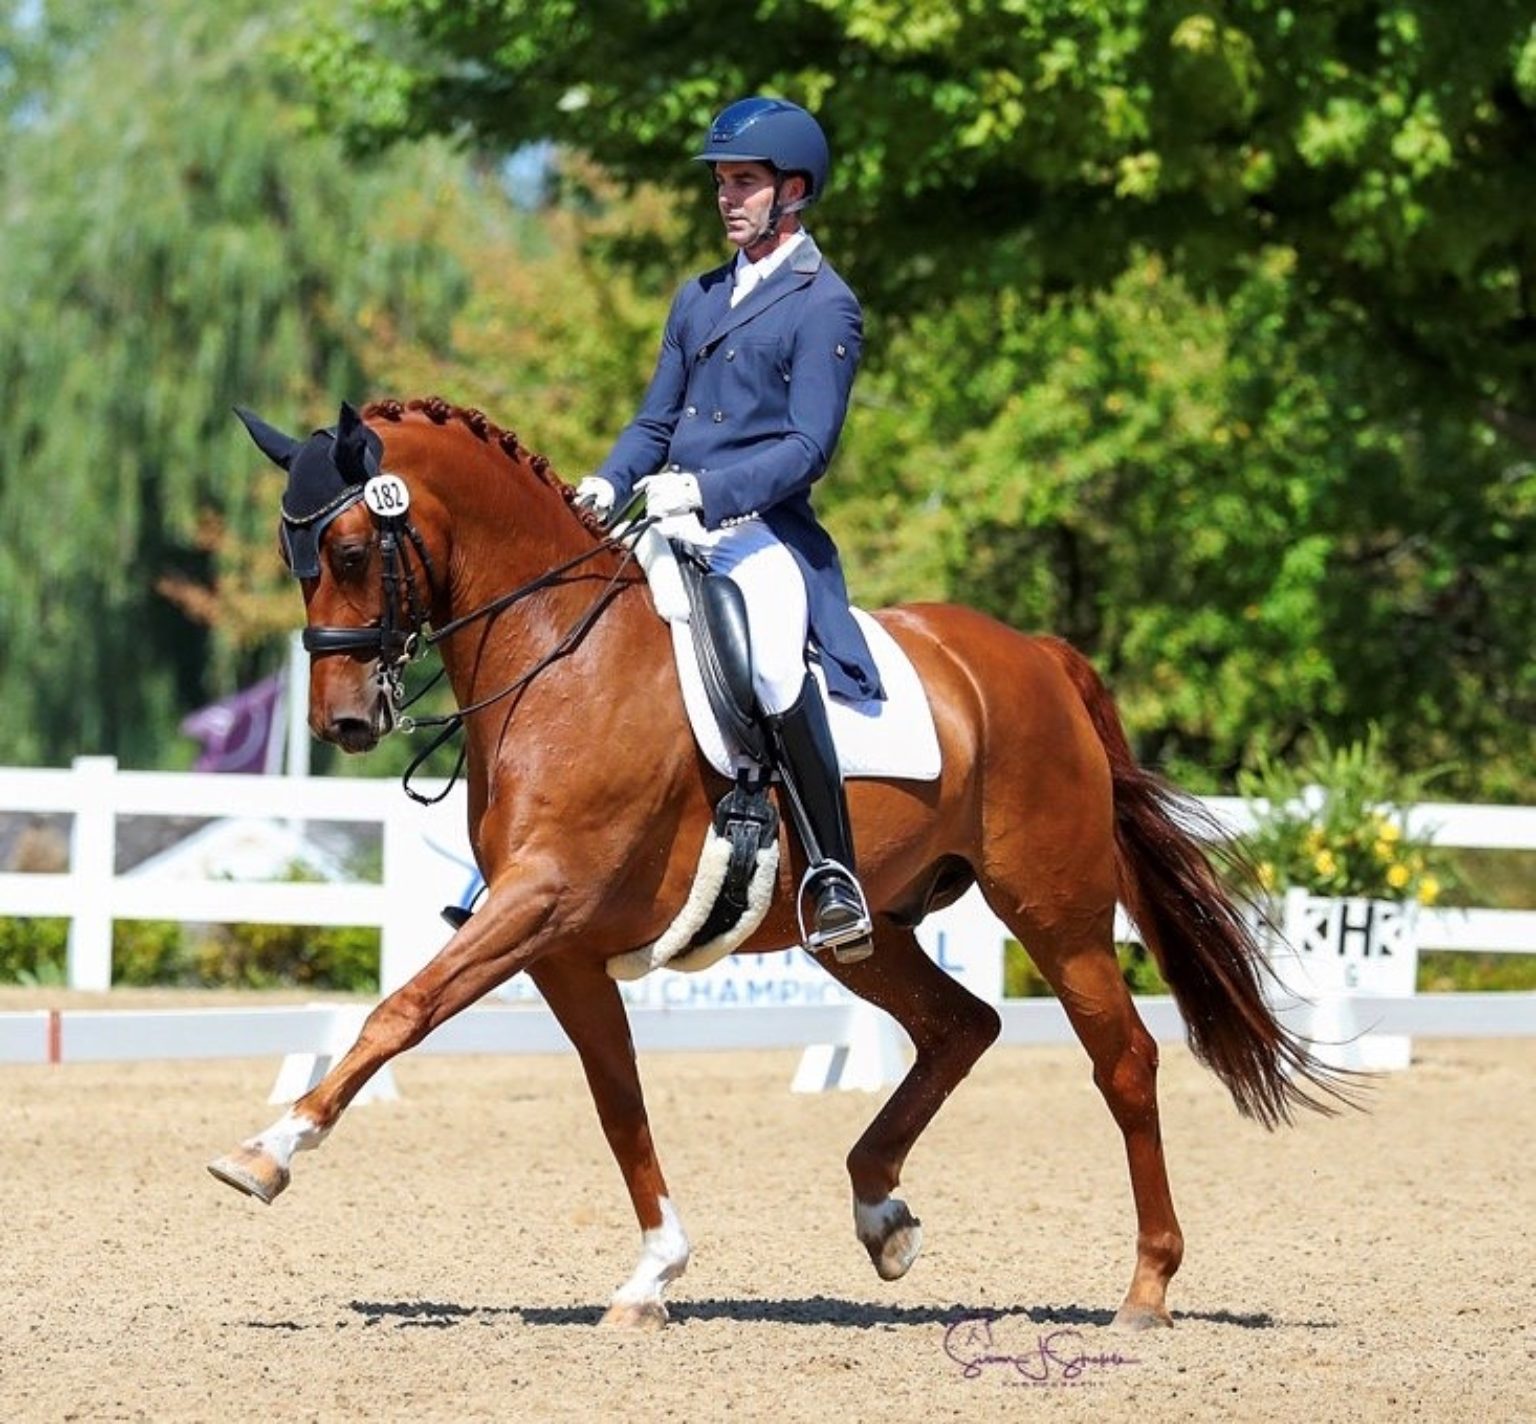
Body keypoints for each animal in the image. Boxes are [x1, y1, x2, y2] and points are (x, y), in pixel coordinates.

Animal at [210, 396, 1339, 1333]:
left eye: (352, 548)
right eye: (294, 554)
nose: (344, 723)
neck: (561, 656)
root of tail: (1035, 656)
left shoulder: (543, 900)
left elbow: (398, 1011)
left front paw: (266, 1152)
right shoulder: (560, 945)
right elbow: (617, 1096)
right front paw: (654, 1273)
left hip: (1053, 908)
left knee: (1124, 1061)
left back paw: (1145, 1288)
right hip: (864, 927)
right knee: (960, 1024)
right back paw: (882, 1211)